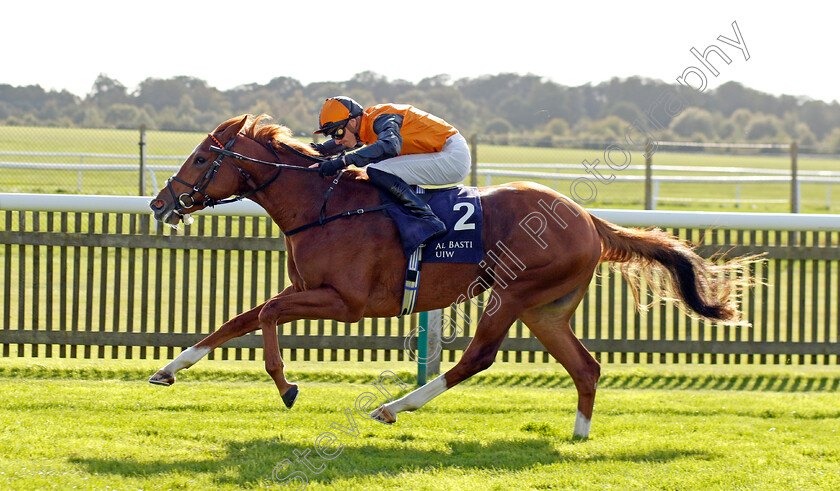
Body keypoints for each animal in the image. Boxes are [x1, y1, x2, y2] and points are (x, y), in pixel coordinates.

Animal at [149, 115, 756, 438]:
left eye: (201, 157)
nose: (160, 203)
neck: (324, 205)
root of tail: (587, 217)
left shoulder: (345, 302)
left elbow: (268, 317)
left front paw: (286, 384)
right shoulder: (307, 289)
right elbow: (241, 318)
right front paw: (168, 370)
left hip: (512, 292)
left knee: (477, 358)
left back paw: (393, 407)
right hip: (545, 309)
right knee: (585, 366)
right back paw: (578, 435)